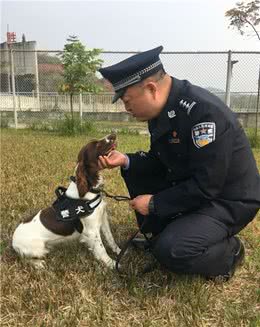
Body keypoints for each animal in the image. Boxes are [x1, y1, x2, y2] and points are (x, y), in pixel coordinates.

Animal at [12, 135, 121, 270]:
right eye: (96, 144)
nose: (113, 135)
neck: (89, 189)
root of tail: (13, 242)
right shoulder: (91, 231)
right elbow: (101, 250)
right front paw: (112, 264)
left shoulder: (103, 219)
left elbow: (110, 239)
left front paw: (120, 252)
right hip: (37, 249)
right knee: (24, 259)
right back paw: (38, 263)